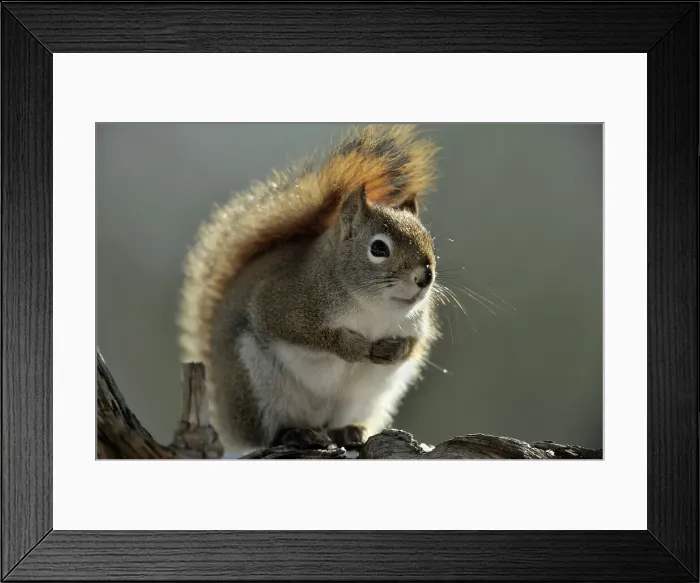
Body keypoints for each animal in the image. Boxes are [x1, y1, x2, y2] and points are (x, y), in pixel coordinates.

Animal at [176, 124, 442, 454]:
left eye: (429, 241)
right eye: (379, 248)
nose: (425, 277)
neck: (373, 308)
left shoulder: (417, 325)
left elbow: (414, 345)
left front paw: (395, 349)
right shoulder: (282, 302)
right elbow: (304, 332)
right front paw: (352, 347)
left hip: (365, 398)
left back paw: (347, 431)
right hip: (253, 385)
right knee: (266, 434)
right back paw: (294, 434)